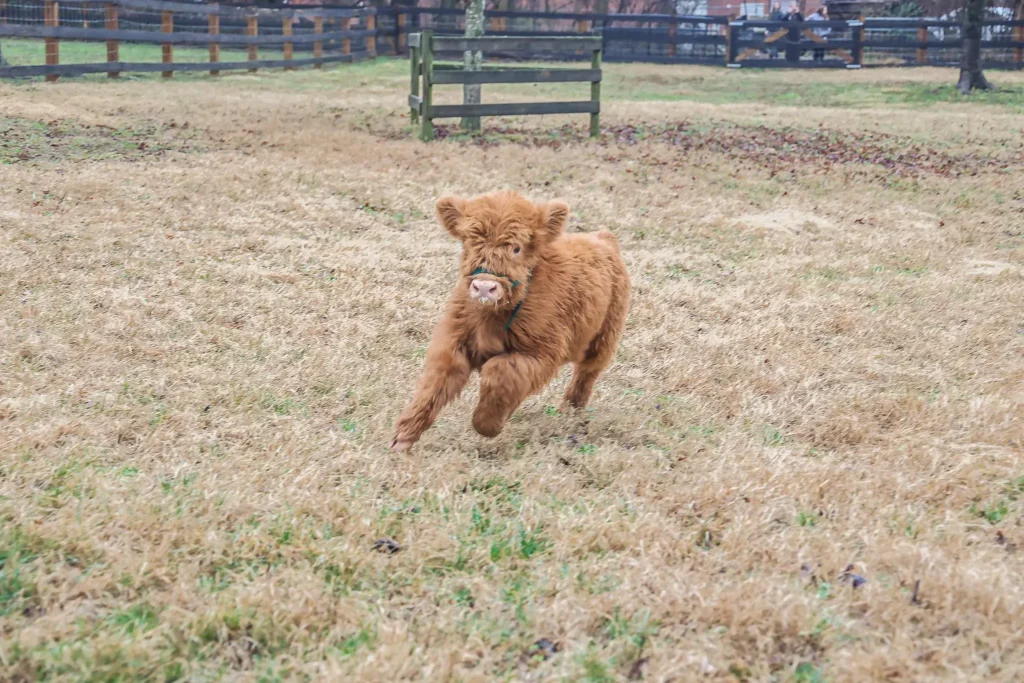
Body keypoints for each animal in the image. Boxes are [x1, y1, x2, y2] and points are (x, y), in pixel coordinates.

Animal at [389, 190, 630, 452]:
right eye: (469, 242)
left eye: (516, 248)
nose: (485, 287)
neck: (491, 319)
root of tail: (602, 238)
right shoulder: (453, 341)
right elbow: (435, 383)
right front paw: (402, 438)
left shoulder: (541, 353)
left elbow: (500, 372)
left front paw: (487, 425)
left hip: (604, 337)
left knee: (587, 372)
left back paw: (569, 409)